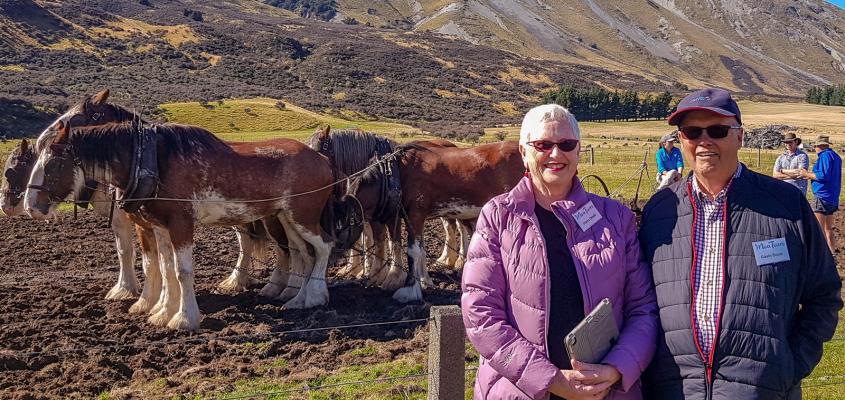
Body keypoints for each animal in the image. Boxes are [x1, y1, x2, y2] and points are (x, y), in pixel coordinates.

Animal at [23, 122, 332, 332]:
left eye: (52, 165)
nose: (30, 206)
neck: (151, 161)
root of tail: (321, 159)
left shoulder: (182, 224)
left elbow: (182, 272)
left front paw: (184, 317)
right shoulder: (160, 227)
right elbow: (164, 267)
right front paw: (161, 310)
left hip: (303, 216)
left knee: (324, 248)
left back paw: (316, 295)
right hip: (287, 218)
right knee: (304, 253)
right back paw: (301, 299)